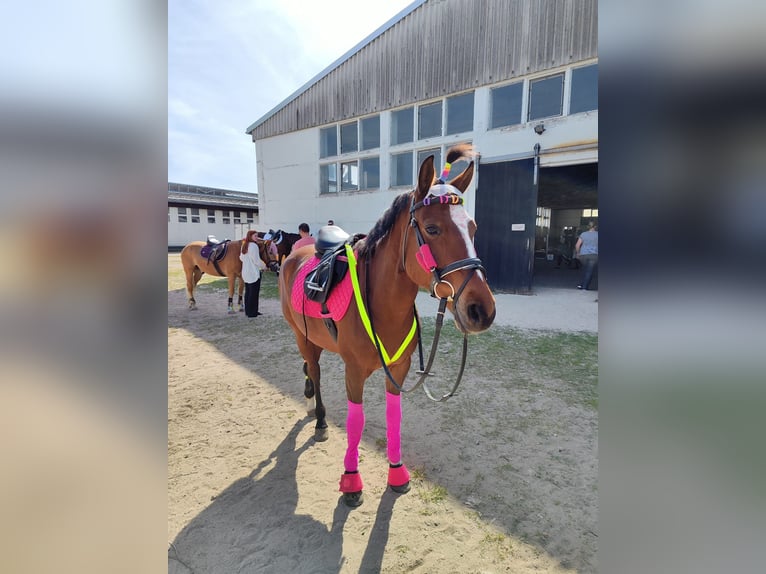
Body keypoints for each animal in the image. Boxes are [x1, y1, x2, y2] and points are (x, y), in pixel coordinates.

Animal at [280, 145, 498, 508]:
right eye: (432, 228)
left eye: (473, 228)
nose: (481, 310)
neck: (382, 306)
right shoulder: (353, 372)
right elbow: (355, 422)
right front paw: (351, 482)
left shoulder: (399, 369)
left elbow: (394, 417)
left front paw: (396, 473)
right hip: (301, 336)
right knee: (316, 371)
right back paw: (321, 419)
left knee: (310, 369)